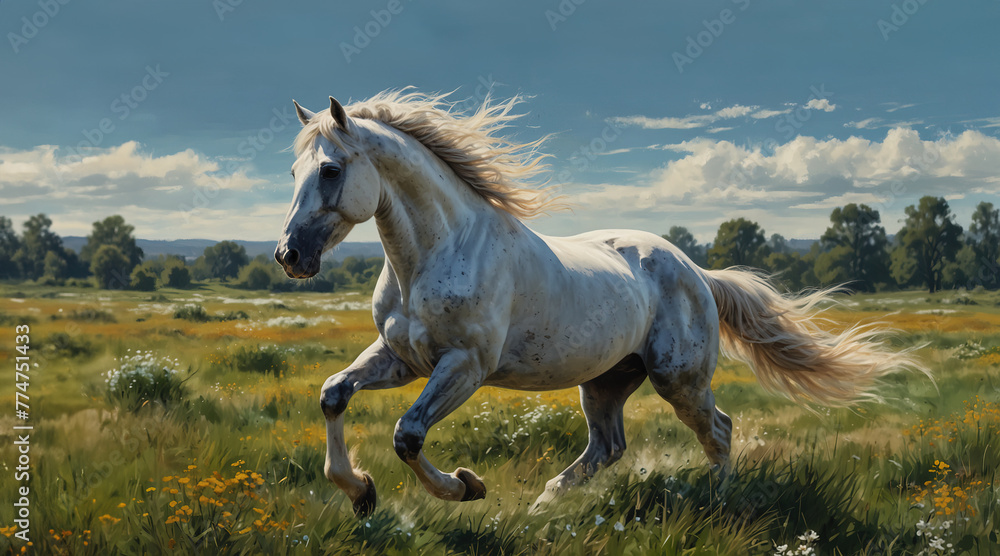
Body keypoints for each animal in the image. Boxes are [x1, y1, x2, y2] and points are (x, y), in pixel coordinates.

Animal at [273, 90, 920, 516]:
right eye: (293, 169)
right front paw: (361, 492)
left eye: (329, 169)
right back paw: (542, 507)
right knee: (608, 447)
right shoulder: (402, 359)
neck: (440, 251)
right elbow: (333, 395)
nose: (288, 254)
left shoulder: (464, 366)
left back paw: (719, 502)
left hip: (679, 378)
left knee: (719, 431)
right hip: (608, 380)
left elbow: (407, 435)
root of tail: (695, 270)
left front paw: (465, 486)